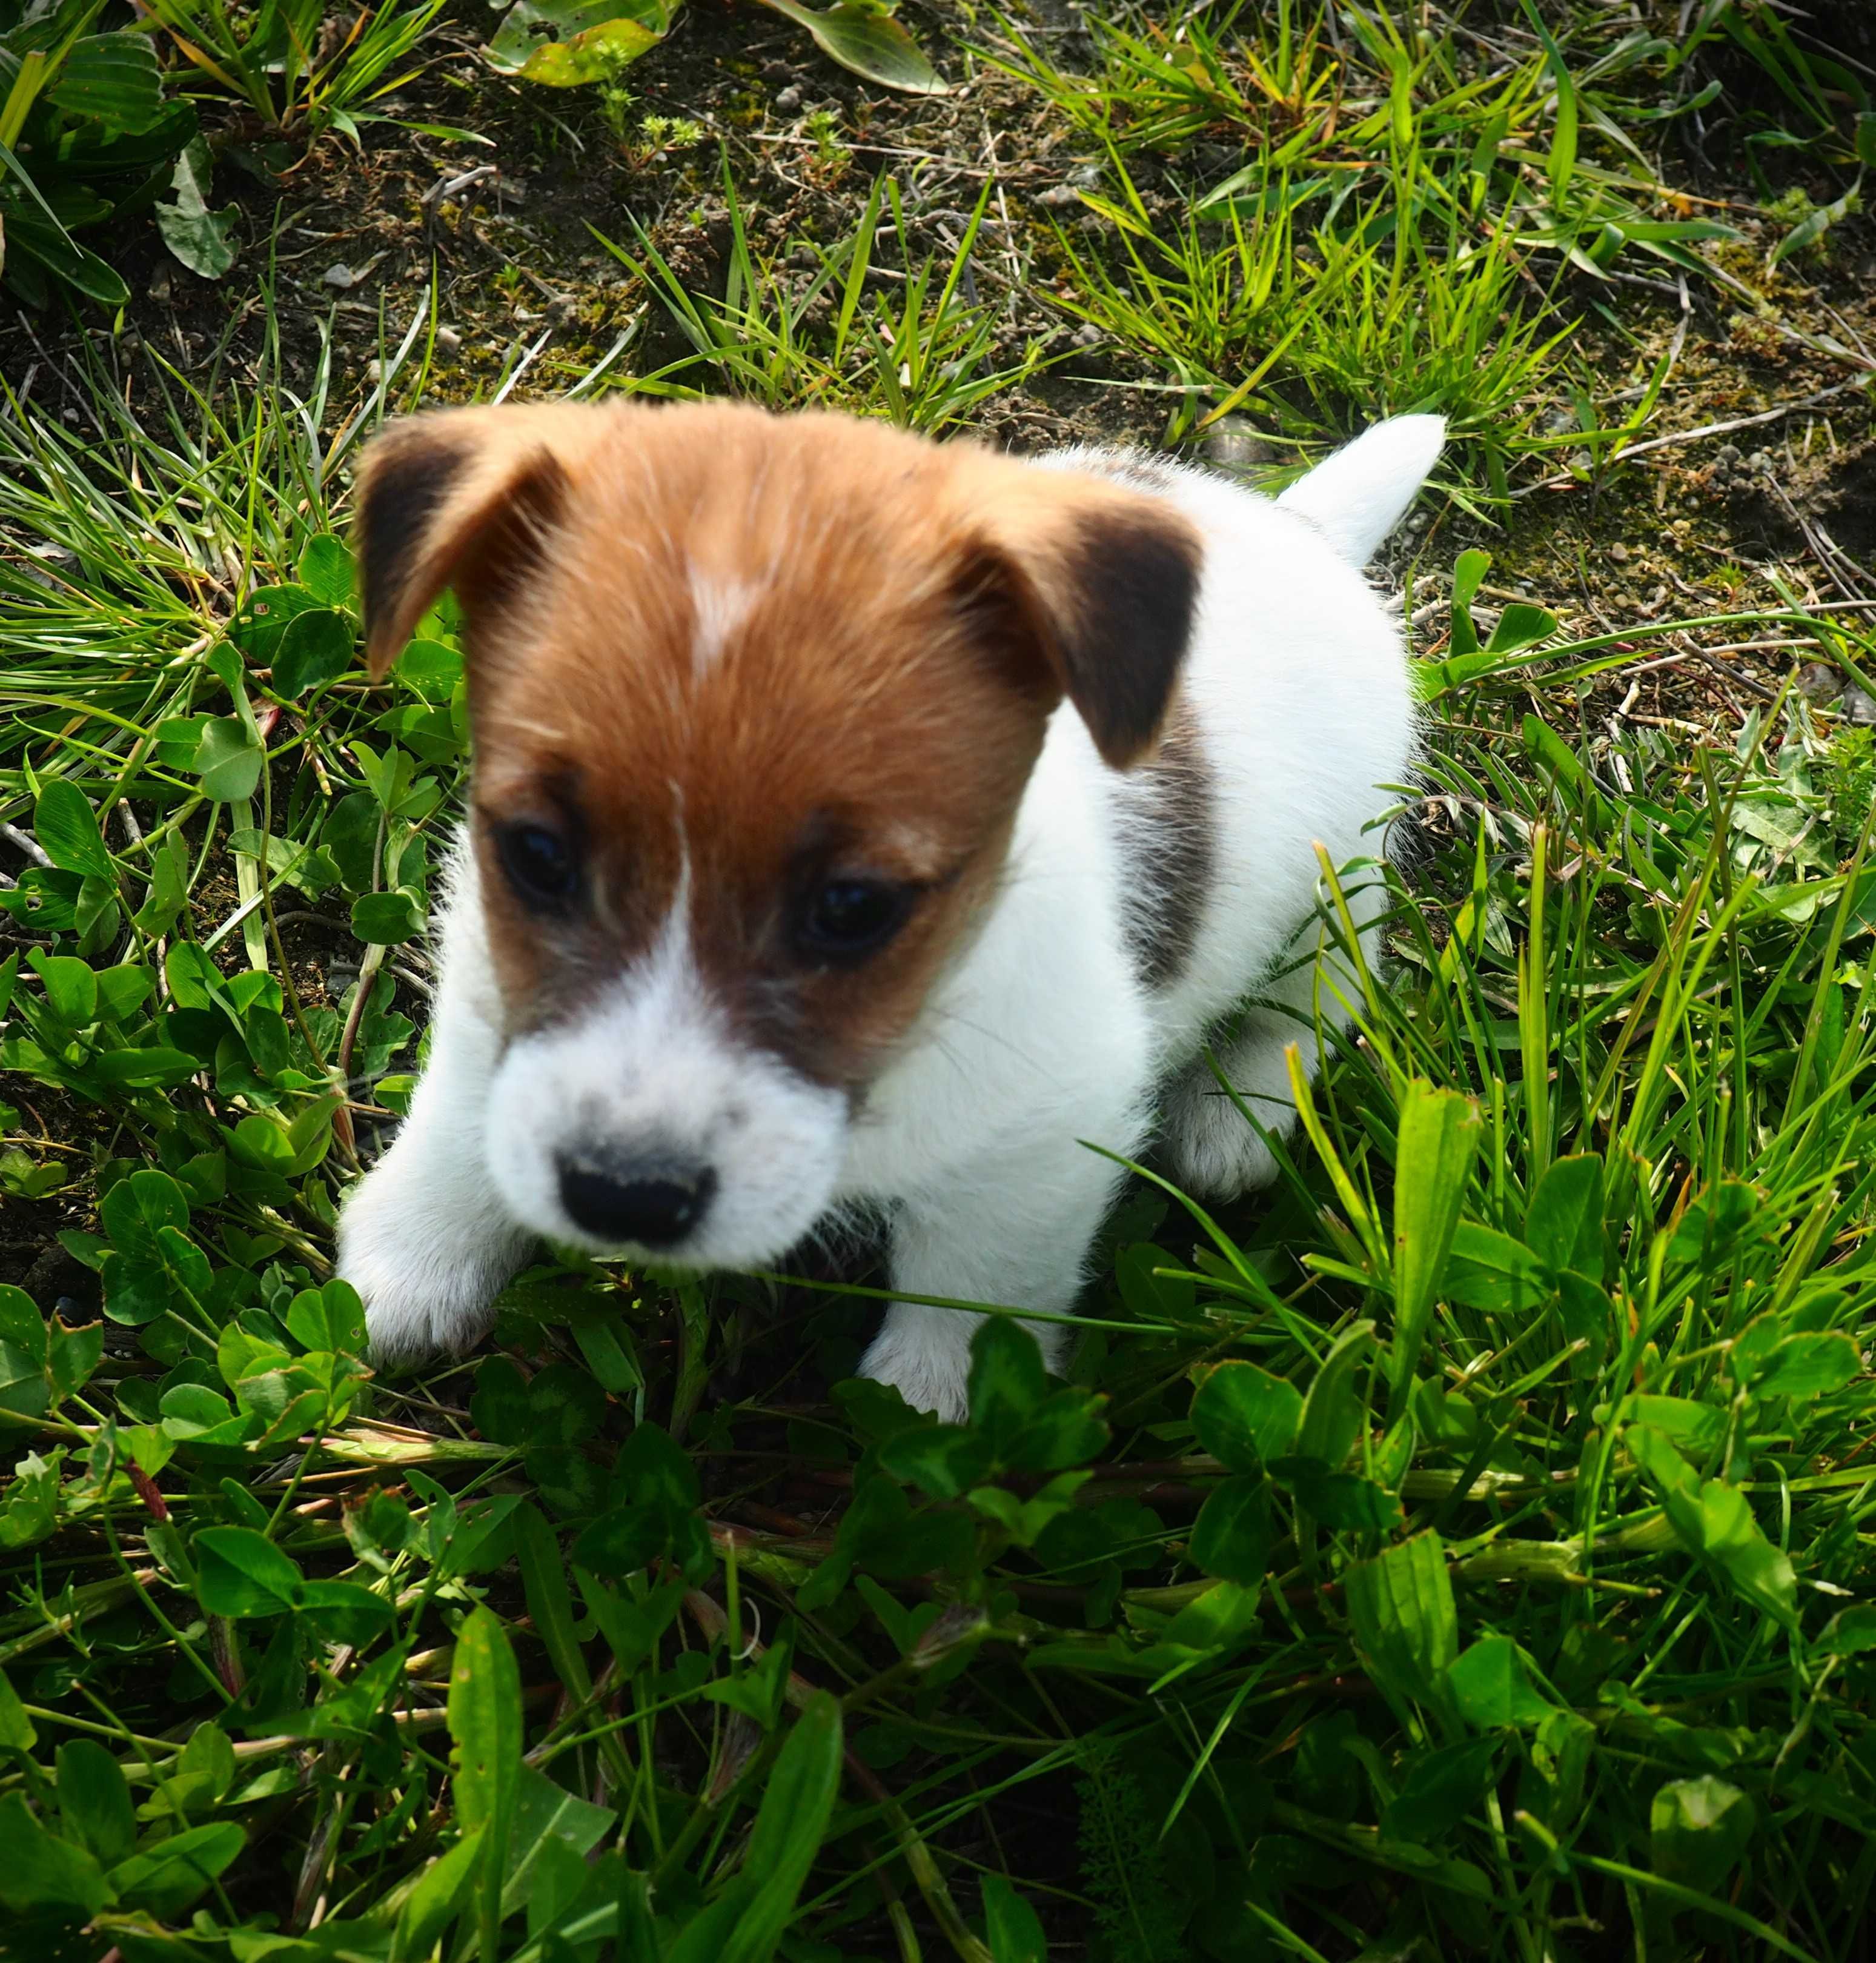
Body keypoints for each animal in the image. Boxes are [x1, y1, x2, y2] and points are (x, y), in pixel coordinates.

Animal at [337, 398, 1436, 1421]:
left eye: (852, 908)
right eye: (537, 856)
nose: (623, 1193)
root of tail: (1300, 530)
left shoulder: (1041, 1137)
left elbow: (978, 1283)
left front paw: (932, 1400)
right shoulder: (489, 975)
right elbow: (465, 1106)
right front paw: (415, 1255)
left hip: (1335, 878)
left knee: (1333, 981)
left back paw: (1239, 1104)